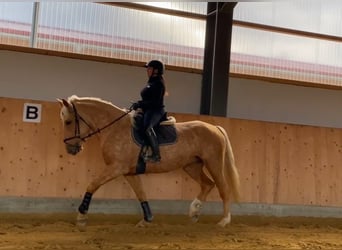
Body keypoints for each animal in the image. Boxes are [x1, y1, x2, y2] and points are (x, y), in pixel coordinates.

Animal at [58, 95, 240, 229]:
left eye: (68, 122)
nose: (70, 149)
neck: (114, 128)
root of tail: (215, 128)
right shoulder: (129, 172)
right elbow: (141, 194)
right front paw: (146, 220)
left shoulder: (116, 168)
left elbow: (92, 185)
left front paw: (81, 217)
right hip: (192, 166)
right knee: (207, 184)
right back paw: (194, 212)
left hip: (213, 163)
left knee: (223, 188)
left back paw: (224, 221)